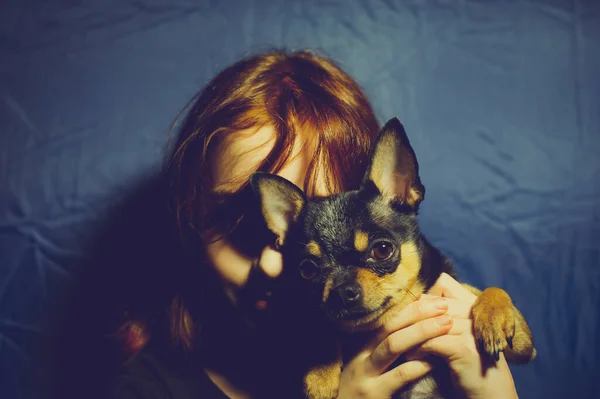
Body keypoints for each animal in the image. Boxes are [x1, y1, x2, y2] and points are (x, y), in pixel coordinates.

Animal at [247, 118, 536, 399]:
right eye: (307, 270)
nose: (341, 291)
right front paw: (319, 374)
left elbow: (491, 290)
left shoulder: (522, 346)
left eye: (382, 250)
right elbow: (323, 326)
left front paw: (493, 317)